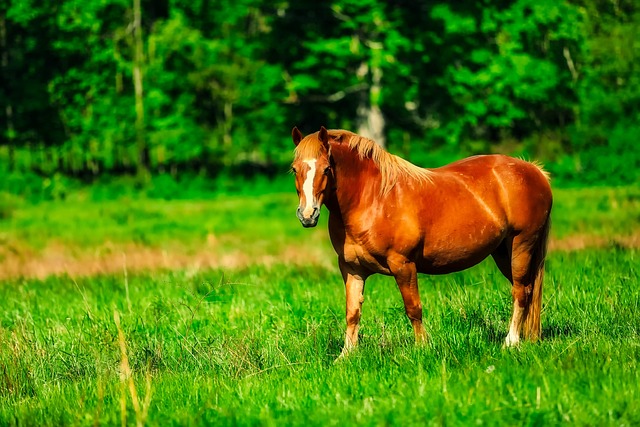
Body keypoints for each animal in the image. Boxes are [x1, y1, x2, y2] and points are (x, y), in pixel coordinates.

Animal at [288, 127, 552, 358]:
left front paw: (422, 348)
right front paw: (346, 356)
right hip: (502, 252)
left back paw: (511, 342)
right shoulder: (352, 269)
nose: (307, 214)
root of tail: (534, 171)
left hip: (521, 245)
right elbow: (353, 312)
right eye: (294, 169)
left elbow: (413, 308)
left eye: (326, 169)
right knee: (527, 290)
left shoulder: (403, 265)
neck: (373, 198)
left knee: (520, 291)